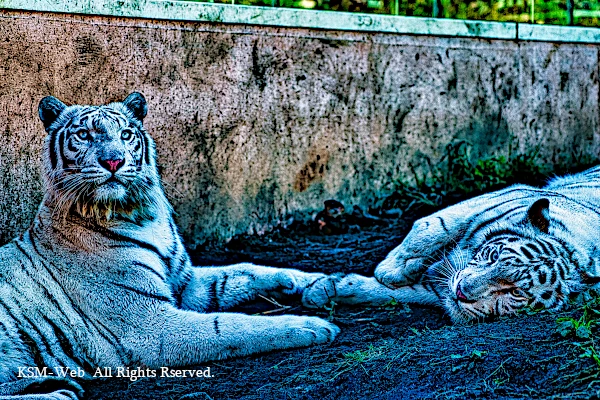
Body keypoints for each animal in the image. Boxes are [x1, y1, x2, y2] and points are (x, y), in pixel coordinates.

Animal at [0, 93, 338, 400]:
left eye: (125, 134)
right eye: (84, 135)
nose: (113, 161)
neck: (137, 213)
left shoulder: (186, 284)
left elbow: (241, 271)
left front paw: (301, 280)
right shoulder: (149, 326)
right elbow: (231, 325)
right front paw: (313, 326)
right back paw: (56, 392)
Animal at [304, 164, 600, 324]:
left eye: (516, 292)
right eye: (494, 256)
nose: (461, 291)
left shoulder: (438, 290)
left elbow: (393, 293)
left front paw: (325, 289)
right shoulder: (491, 199)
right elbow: (429, 227)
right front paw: (390, 270)